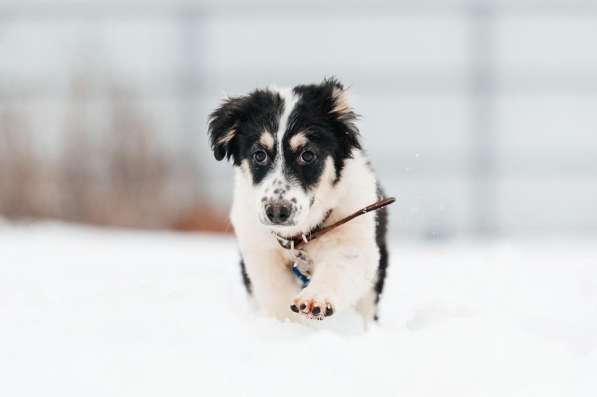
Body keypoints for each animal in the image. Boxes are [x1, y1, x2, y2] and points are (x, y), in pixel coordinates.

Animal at [207, 77, 388, 322]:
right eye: (259, 155)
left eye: (307, 155)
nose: (276, 211)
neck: (299, 238)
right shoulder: (259, 251)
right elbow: (276, 294)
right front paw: (288, 325)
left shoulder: (352, 240)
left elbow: (338, 269)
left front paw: (316, 300)